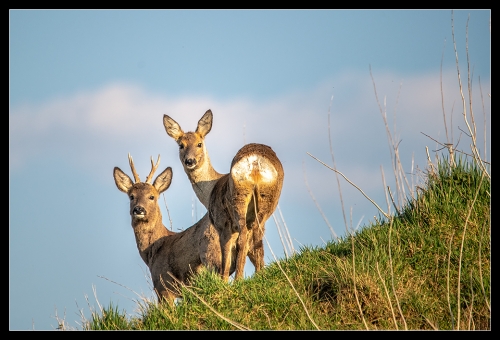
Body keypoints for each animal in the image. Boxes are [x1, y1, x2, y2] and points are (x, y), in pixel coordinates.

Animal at [113, 154, 234, 302]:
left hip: (212, 254)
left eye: (151, 196)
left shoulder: (163, 285)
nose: (139, 209)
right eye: (131, 196)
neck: (152, 251)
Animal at [162, 109, 284, 282]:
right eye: (181, 145)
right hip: (267, 199)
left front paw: (223, 281)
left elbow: (225, 254)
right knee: (257, 235)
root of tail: (255, 164)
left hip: (239, 198)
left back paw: (238, 279)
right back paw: (259, 274)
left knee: (244, 238)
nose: (190, 161)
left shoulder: (222, 223)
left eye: (199, 144)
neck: (211, 187)